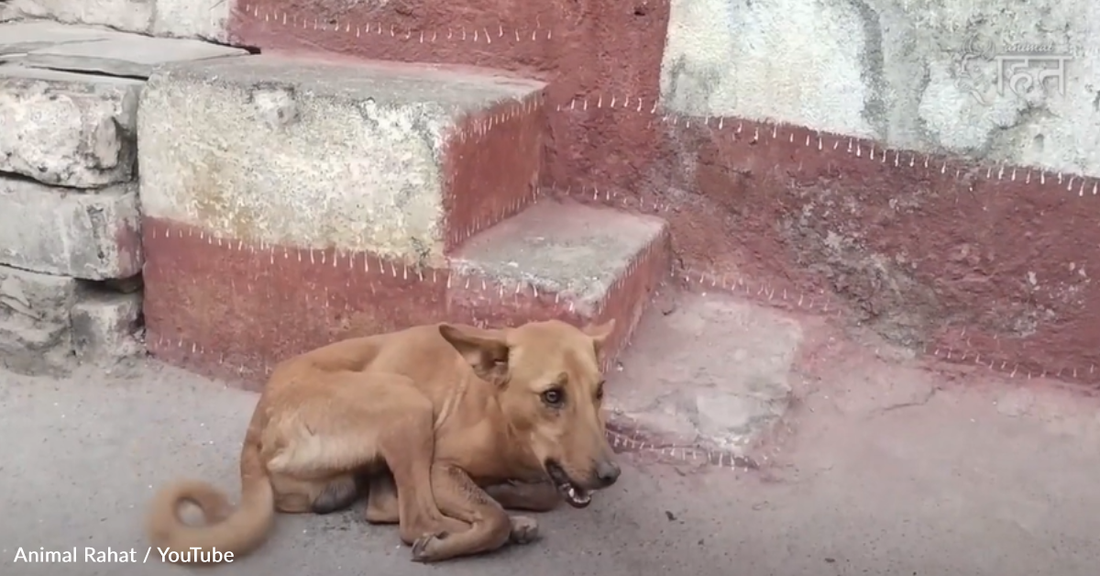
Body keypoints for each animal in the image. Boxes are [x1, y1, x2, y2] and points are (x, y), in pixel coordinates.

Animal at [146, 314, 624, 562]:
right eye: (552, 395)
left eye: (599, 391)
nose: (610, 474)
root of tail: (259, 418)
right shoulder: (440, 466)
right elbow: (493, 516)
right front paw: (492, 514)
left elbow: (541, 492)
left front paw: (508, 494)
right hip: (407, 402)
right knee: (416, 521)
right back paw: (460, 535)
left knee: (383, 505)